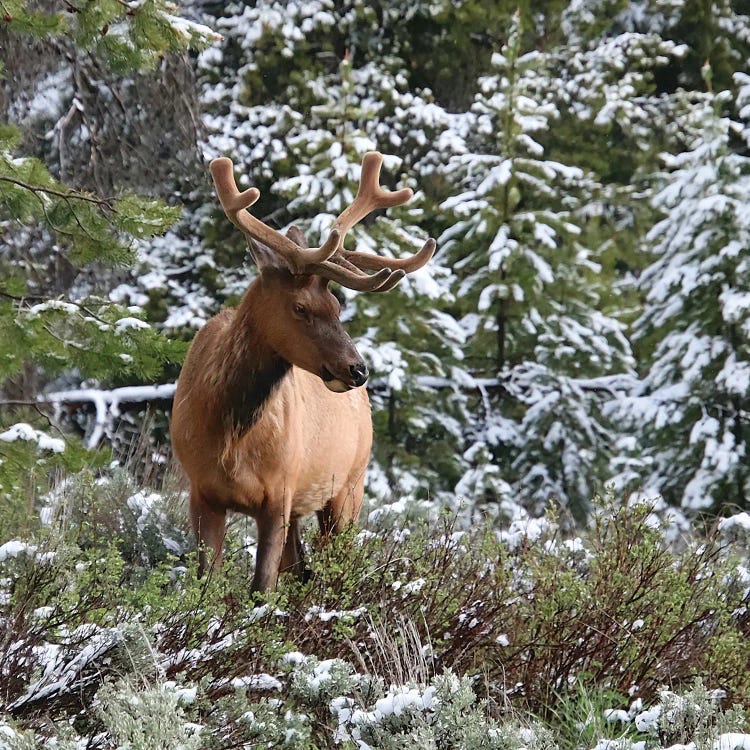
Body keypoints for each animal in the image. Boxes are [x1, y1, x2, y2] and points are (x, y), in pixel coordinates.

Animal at [170, 150, 434, 592]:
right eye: (301, 307)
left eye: (337, 307)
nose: (358, 369)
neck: (228, 433)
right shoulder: (201, 492)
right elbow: (207, 583)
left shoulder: (279, 493)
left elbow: (262, 586)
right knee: (299, 567)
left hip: (348, 487)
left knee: (335, 563)